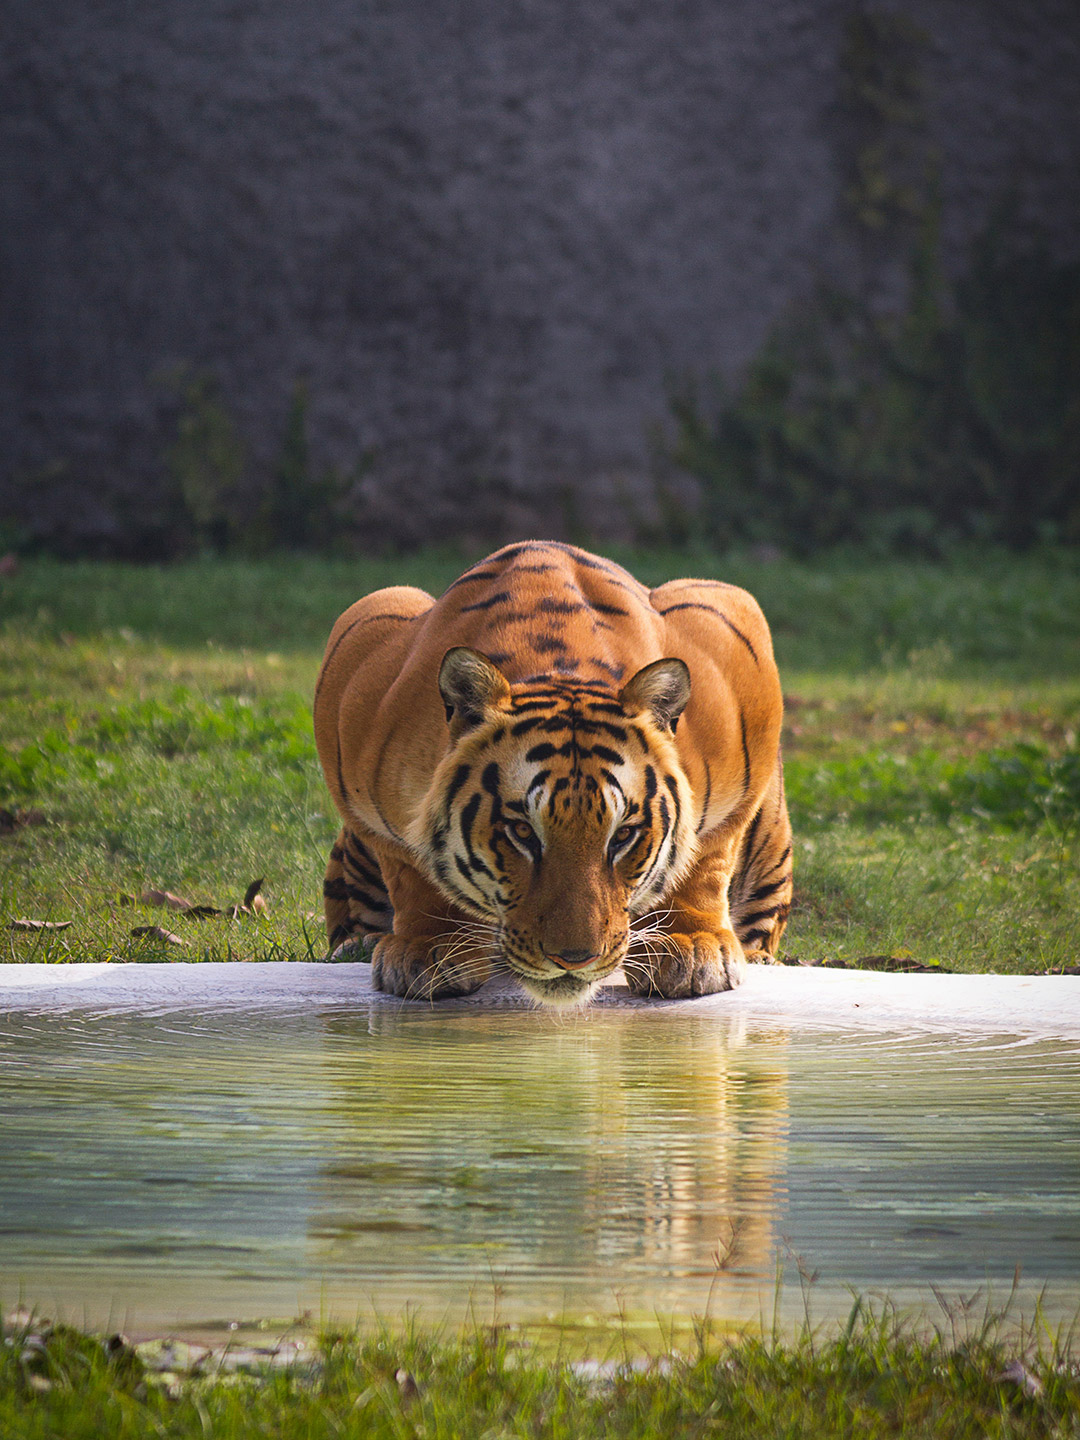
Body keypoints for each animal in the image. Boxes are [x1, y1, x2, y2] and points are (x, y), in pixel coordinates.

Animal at [313, 540, 792, 1006]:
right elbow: (409, 868)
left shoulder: (734, 639)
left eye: (623, 835)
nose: (574, 960)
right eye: (522, 832)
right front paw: (429, 948)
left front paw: (691, 946)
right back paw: (358, 945)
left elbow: (706, 856)